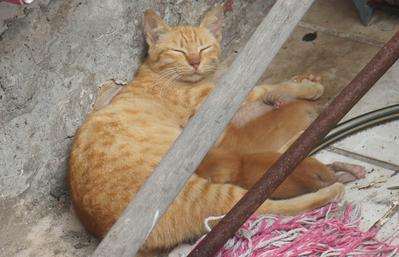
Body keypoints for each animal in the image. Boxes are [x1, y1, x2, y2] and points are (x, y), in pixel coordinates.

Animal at [69, 6, 366, 256]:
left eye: (203, 48)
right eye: (178, 51)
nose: (194, 62)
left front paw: (302, 83)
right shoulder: (218, 101)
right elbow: (263, 87)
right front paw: (304, 88)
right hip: (206, 190)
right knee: (262, 205)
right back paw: (332, 186)